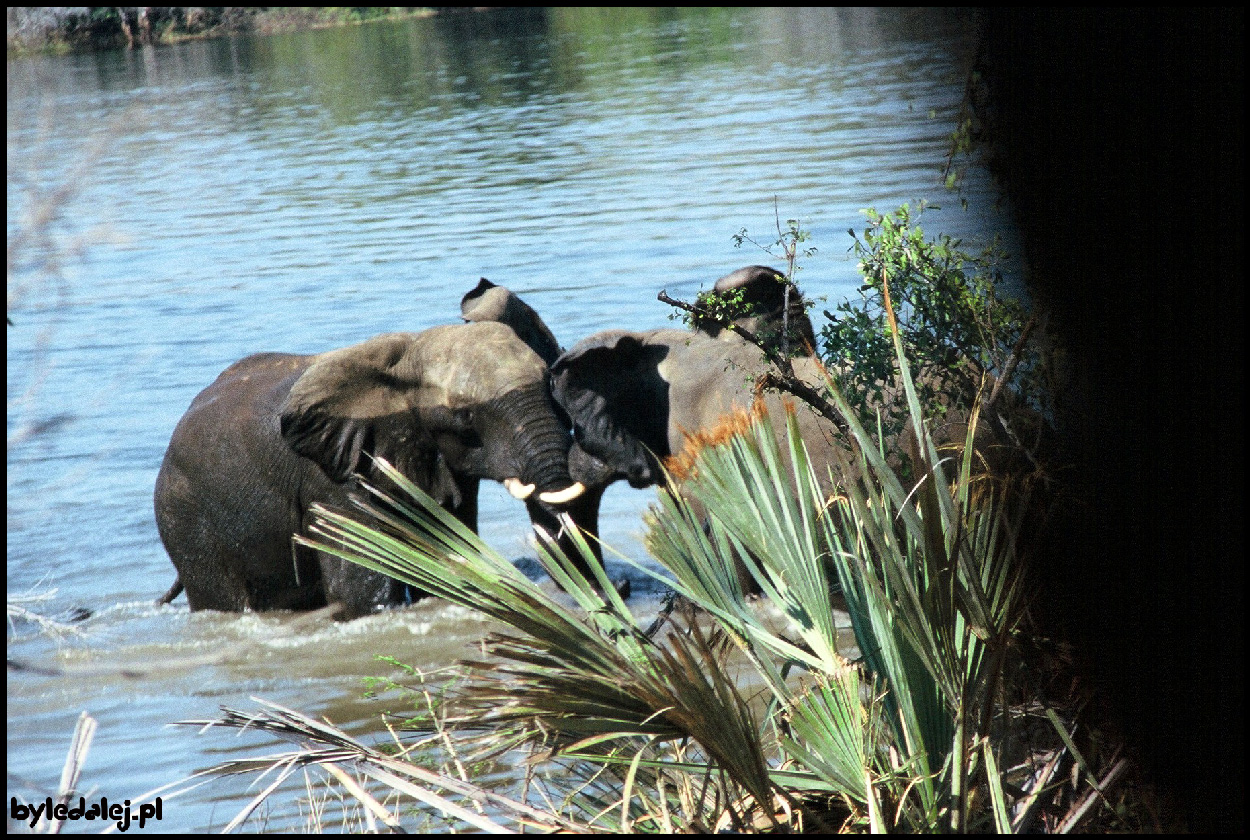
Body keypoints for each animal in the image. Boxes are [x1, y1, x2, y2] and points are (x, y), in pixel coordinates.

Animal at [153, 320, 582, 617]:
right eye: (466, 416)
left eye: (550, 386)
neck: (411, 355)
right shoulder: (335, 477)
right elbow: (358, 593)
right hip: (184, 517)